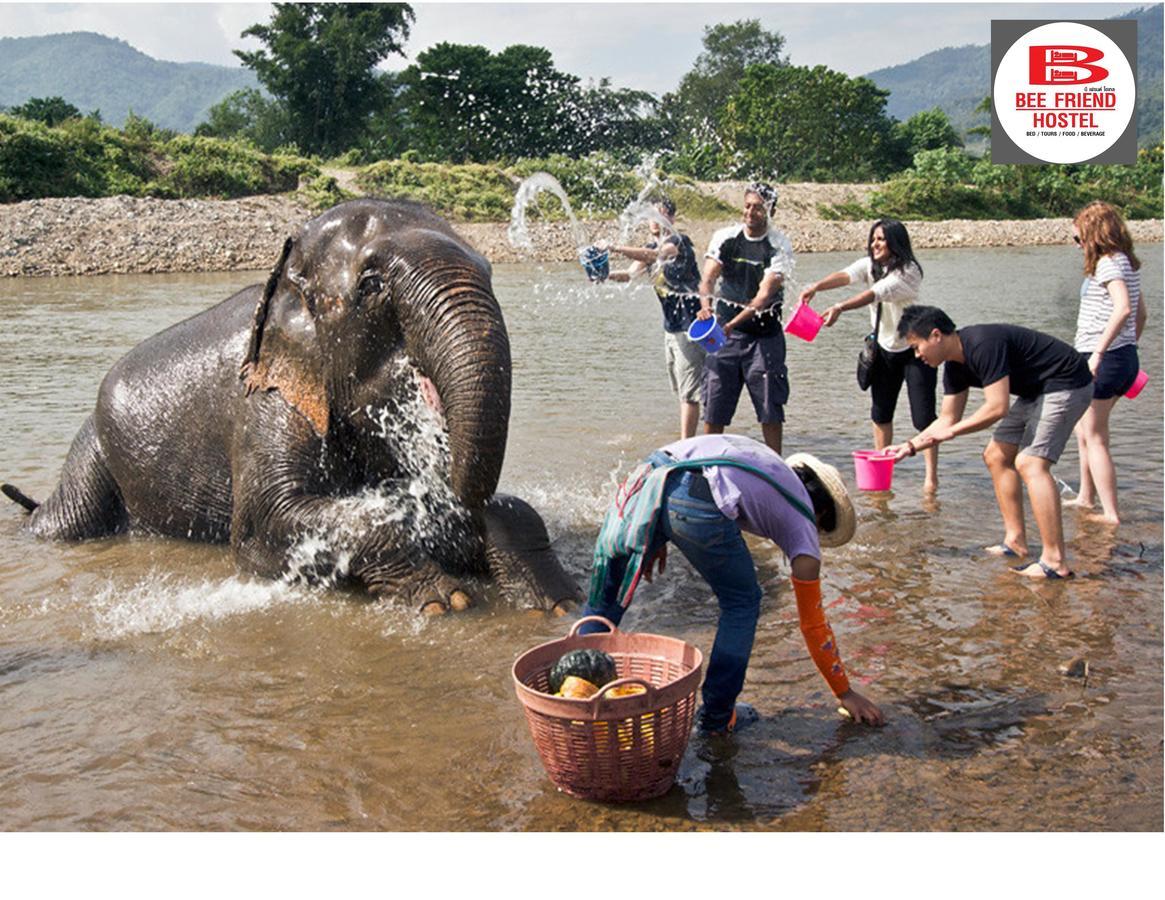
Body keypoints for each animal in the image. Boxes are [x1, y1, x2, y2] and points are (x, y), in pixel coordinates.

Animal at [1, 199, 582, 614]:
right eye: (372, 286)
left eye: (489, 273)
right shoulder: (265, 402)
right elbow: (264, 523)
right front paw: (445, 598)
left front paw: (556, 600)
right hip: (92, 449)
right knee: (65, 521)